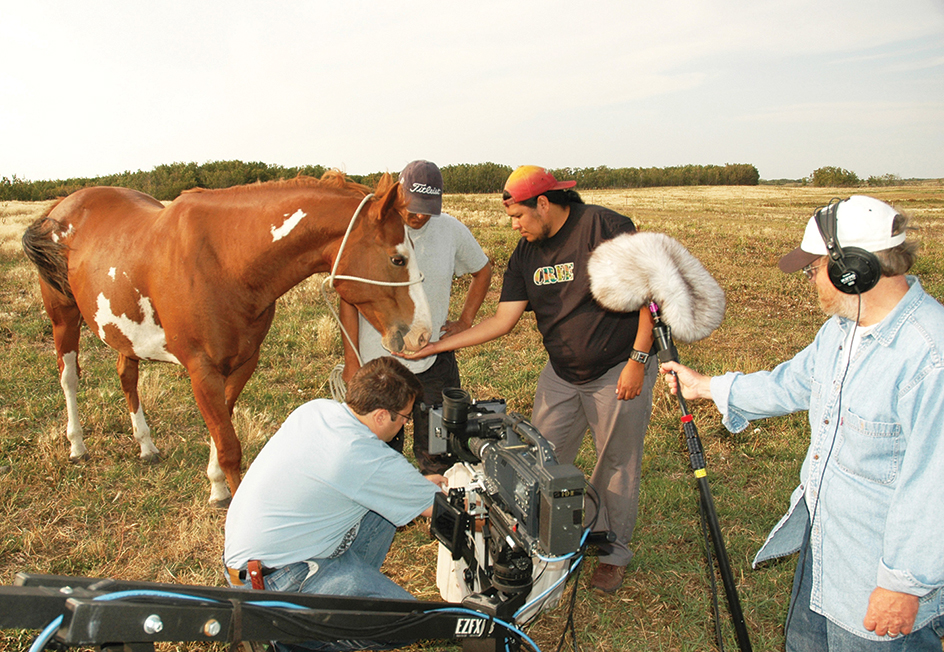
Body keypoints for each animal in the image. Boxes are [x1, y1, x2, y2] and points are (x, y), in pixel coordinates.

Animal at [22, 172, 434, 504]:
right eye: (398, 259)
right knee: (69, 378)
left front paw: (217, 487)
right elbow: (230, 445)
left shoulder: (242, 363)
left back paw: (146, 445)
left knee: (127, 376)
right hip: (63, 318)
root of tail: (62, 207)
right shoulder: (201, 370)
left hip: (125, 332)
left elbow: (221, 431)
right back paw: (77, 444)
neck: (224, 259)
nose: (423, 334)